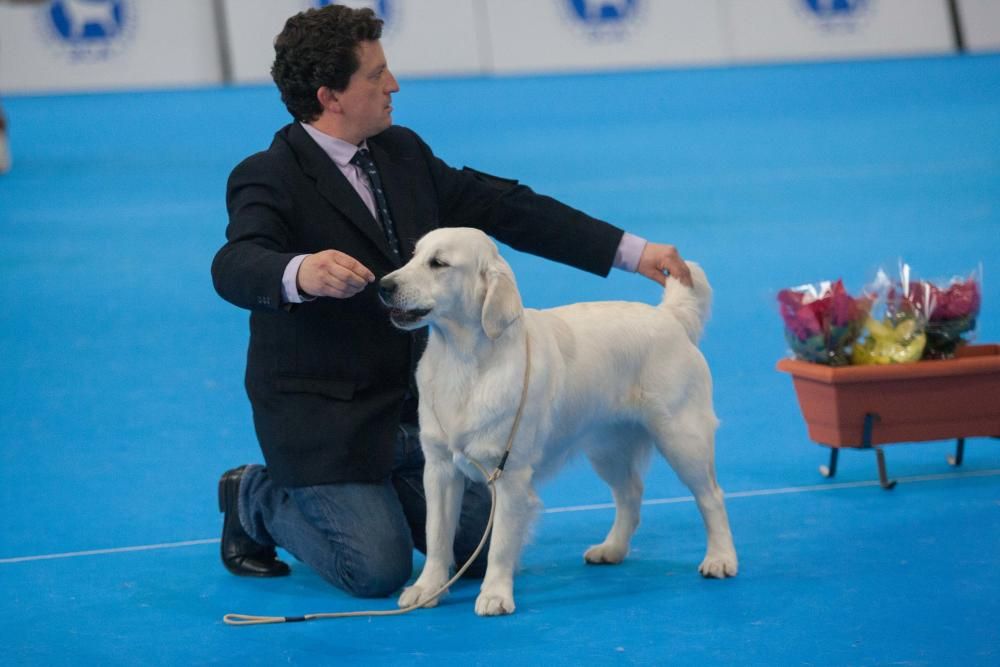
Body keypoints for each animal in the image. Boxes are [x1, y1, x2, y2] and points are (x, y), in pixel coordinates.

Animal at [378, 228, 740, 616]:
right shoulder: (439, 468)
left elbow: (500, 543)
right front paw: (428, 588)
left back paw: (720, 558)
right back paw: (611, 549)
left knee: (711, 496)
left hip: (681, 436)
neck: (463, 360)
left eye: (438, 263)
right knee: (630, 495)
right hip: (607, 447)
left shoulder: (510, 474)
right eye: (413, 256)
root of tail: (668, 317)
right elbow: (437, 534)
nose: (383, 285)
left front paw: (495, 594)